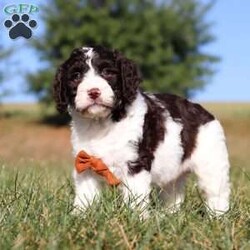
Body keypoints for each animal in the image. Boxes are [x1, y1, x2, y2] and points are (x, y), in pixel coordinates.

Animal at [53, 45, 230, 217]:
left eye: (108, 72)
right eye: (76, 76)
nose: (94, 92)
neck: (101, 123)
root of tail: (203, 112)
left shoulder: (135, 163)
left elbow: (135, 196)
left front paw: (135, 218)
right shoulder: (85, 162)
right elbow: (86, 194)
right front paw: (79, 215)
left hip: (211, 160)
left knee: (217, 191)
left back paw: (218, 216)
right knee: (173, 191)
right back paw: (169, 215)